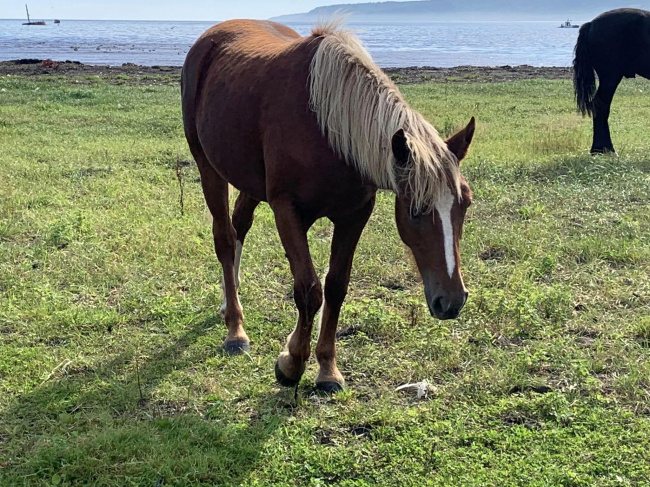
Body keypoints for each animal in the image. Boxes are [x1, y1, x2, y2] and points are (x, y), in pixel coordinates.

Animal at [180, 20, 474, 392]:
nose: (451, 301)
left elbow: (335, 286)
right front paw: (291, 363)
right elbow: (308, 290)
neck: (328, 128)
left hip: (249, 179)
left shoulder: (354, 215)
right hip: (209, 168)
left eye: (466, 204)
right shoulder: (287, 211)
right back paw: (235, 327)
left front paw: (327, 369)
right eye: (415, 209)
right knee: (225, 238)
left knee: (239, 224)